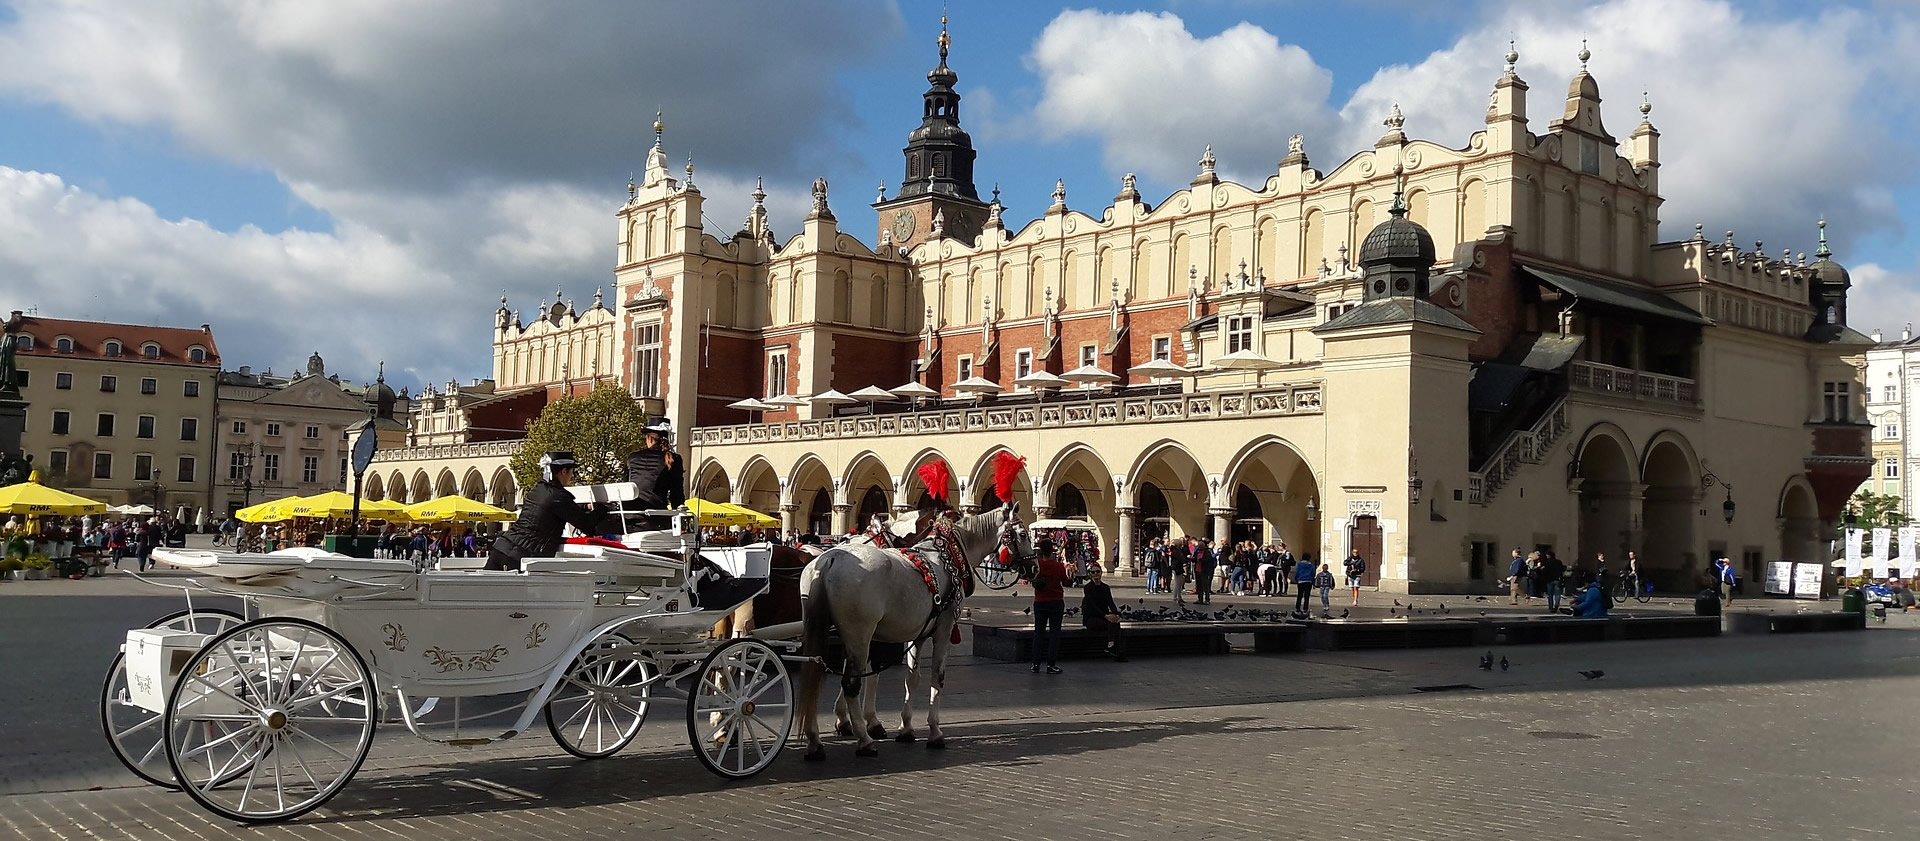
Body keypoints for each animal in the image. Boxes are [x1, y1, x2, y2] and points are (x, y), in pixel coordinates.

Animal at [797, 503, 1033, 759]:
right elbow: (936, 677)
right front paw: (935, 732)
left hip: (821, 628)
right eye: (1023, 534)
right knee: (850, 683)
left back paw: (814, 740)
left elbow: (911, 678)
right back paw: (864, 740)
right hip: (859, 633)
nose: (1035, 567)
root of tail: (829, 558)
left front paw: (905, 728)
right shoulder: (943, 629)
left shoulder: (918, 634)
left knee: (815, 673)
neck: (949, 555)